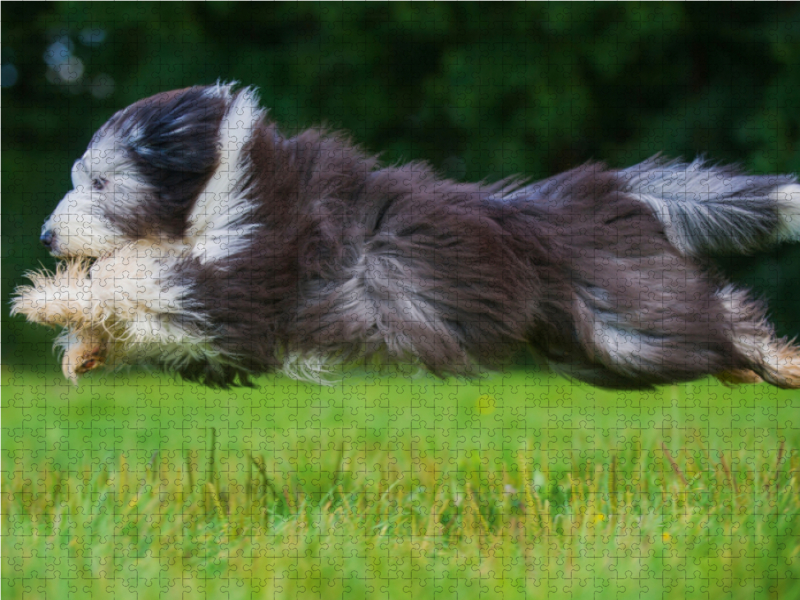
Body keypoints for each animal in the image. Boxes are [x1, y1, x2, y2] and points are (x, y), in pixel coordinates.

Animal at [10, 82, 800, 390]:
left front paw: (47, 302)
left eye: (100, 182)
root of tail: (606, 192)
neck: (227, 188)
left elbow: (140, 277)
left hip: (626, 324)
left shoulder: (246, 283)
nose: (47, 234)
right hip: (594, 346)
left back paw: (777, 362)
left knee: (720, 319)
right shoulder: (222, 330)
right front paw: (83, 343)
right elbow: (136, 303)